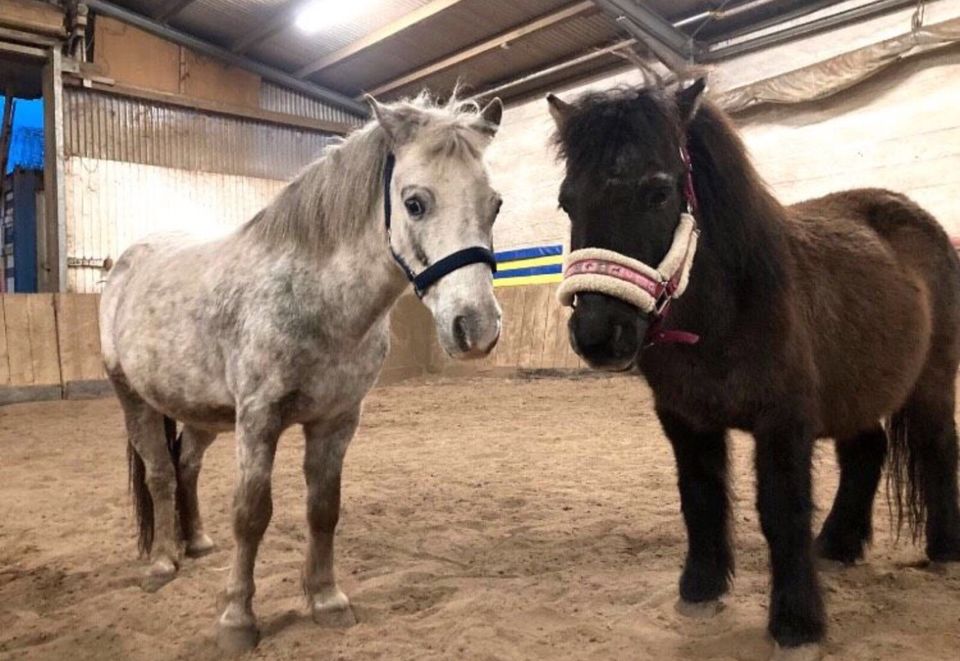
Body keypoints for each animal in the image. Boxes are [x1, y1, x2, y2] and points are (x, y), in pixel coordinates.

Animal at [548, 81, 960, 648]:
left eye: (658, 193)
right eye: (567, 202)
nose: (596, 335)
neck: (725, 313)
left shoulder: (783, 423)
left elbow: (781, 511)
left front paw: (796, 622)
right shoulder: (685, 420)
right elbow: (701, 497)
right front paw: (700, 589)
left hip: (931, 384)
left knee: (939, 449)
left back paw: (945, 550)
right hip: (854, 391)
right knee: (867, 451)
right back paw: (837, 545)